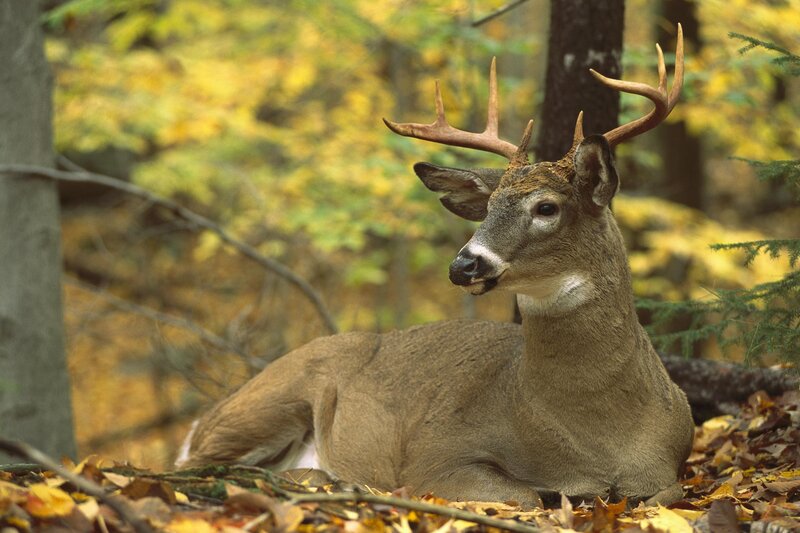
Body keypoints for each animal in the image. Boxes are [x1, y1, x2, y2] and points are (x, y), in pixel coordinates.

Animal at [176, 25, 693, 507]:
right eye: (488, 208)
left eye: (546, 207)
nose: (464, 264)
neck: (597, 440)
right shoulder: (438, 453)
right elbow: (526, 495)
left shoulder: (668, 469)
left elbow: (665, 493)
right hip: (271, 399)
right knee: (195, 466)